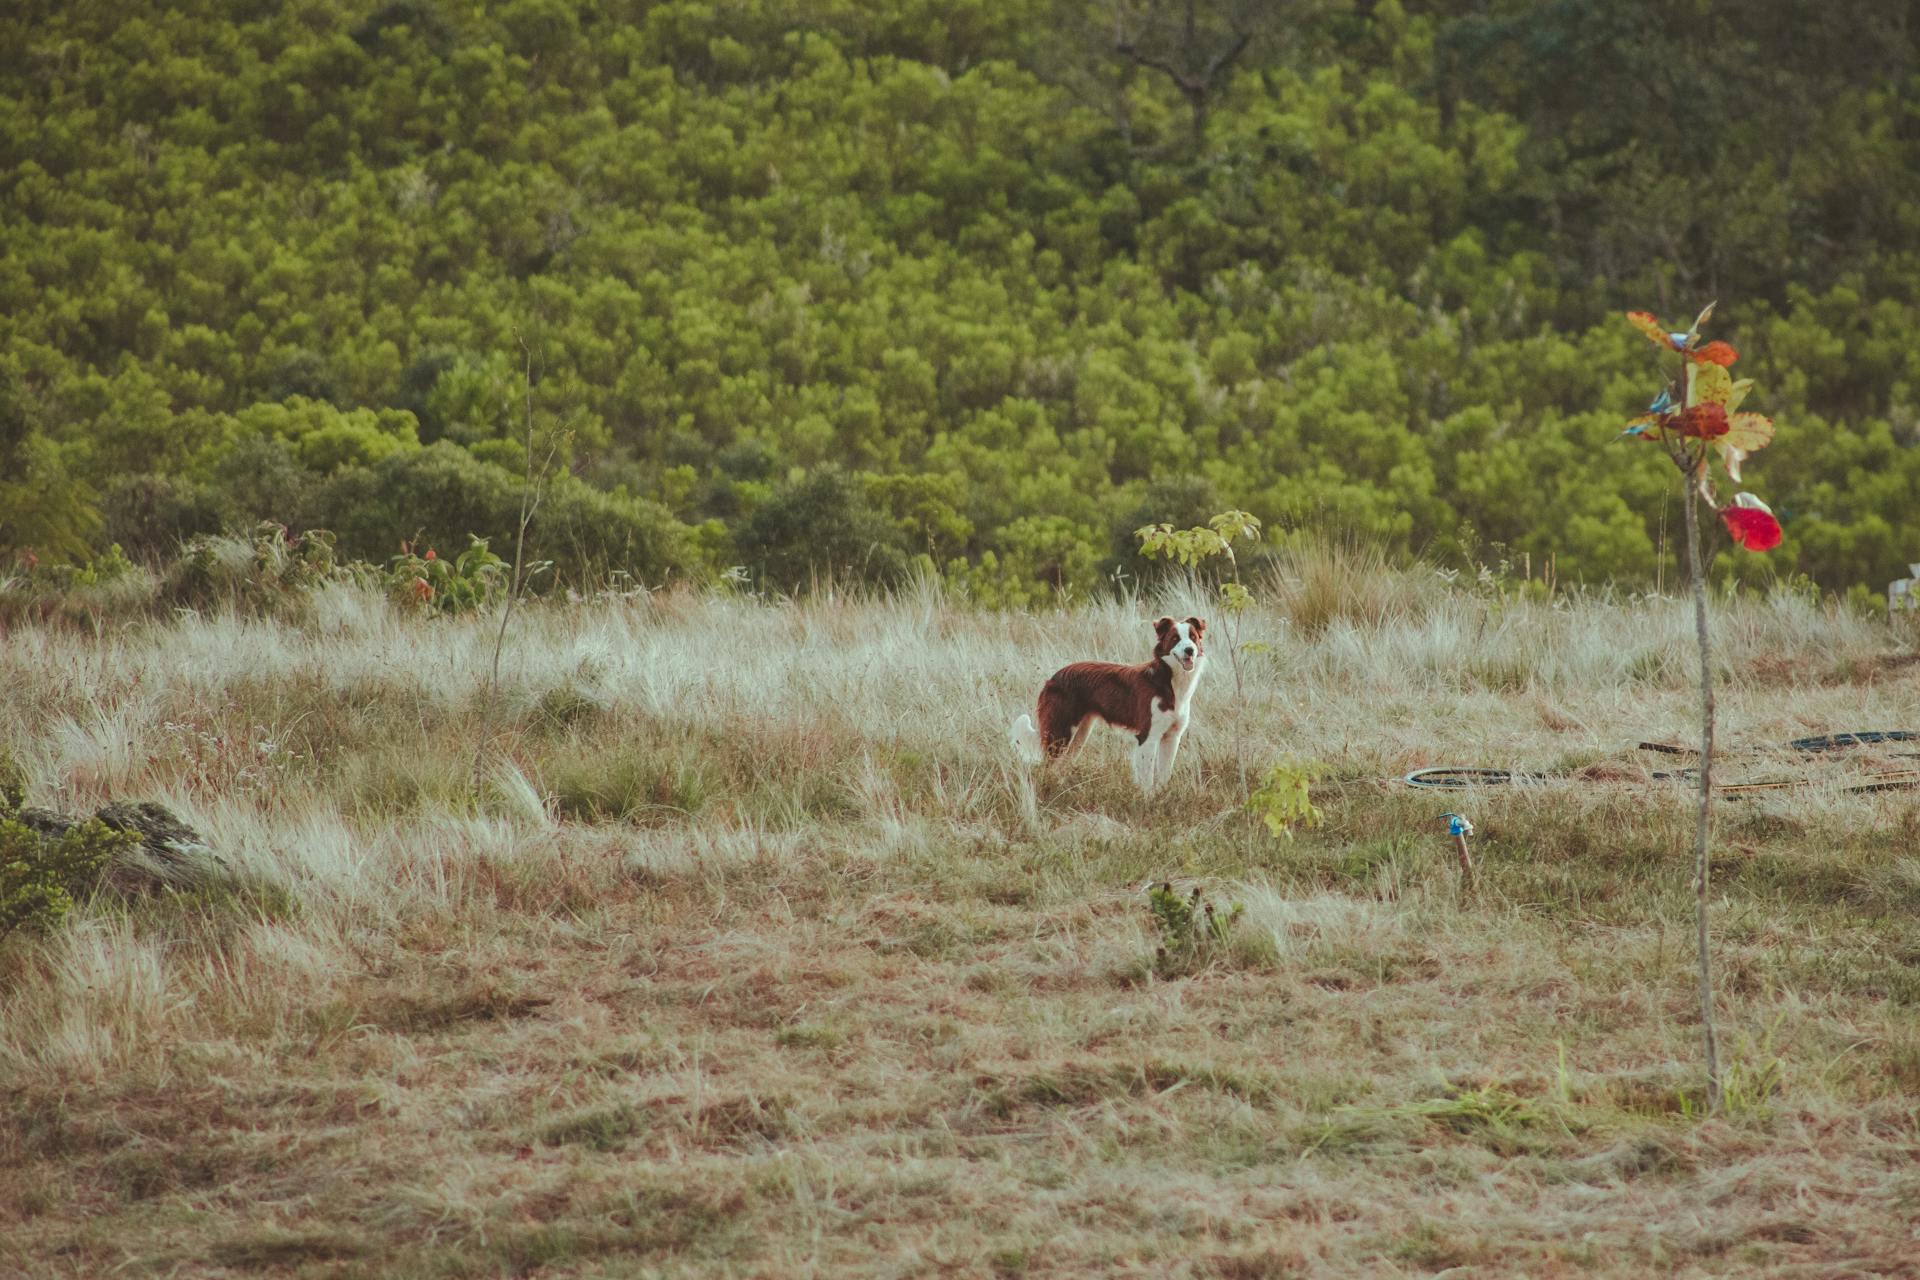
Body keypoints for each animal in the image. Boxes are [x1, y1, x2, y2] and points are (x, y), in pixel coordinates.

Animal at [1013, 617, 1205, 790]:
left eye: (1193, 637)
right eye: (1175, 638)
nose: (1189, 650)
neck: (1168, 680)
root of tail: (1053, 678)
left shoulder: (1172, 737)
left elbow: (1164, 775)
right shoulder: (1148, 737)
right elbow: (1147, 780)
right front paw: (1148, 800)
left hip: (1079, 735)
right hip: (1060, 733)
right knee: (1045, 767)